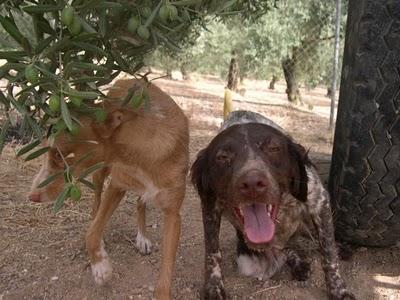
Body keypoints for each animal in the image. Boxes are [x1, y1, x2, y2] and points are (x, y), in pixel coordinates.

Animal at [28, 78, 191, 298]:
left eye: (61, 156)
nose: (32, 196)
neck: (141, 157)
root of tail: (129, 78)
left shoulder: (173, 214)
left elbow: (166, 271)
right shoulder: (116, 186)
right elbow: (91, 233)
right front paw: (100, 267)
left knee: (140, 202)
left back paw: (142, 237)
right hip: (101, 173)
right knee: (96, 204)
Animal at [192, 110, 354, 300]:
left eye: (274, 149)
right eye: (222, 157)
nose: (252, 184)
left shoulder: (319, 201)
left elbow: (329, 254)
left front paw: (338, 289)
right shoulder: (210, 207)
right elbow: (212, 252)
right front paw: (214, 287)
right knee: (287, 249)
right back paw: (298, 264)